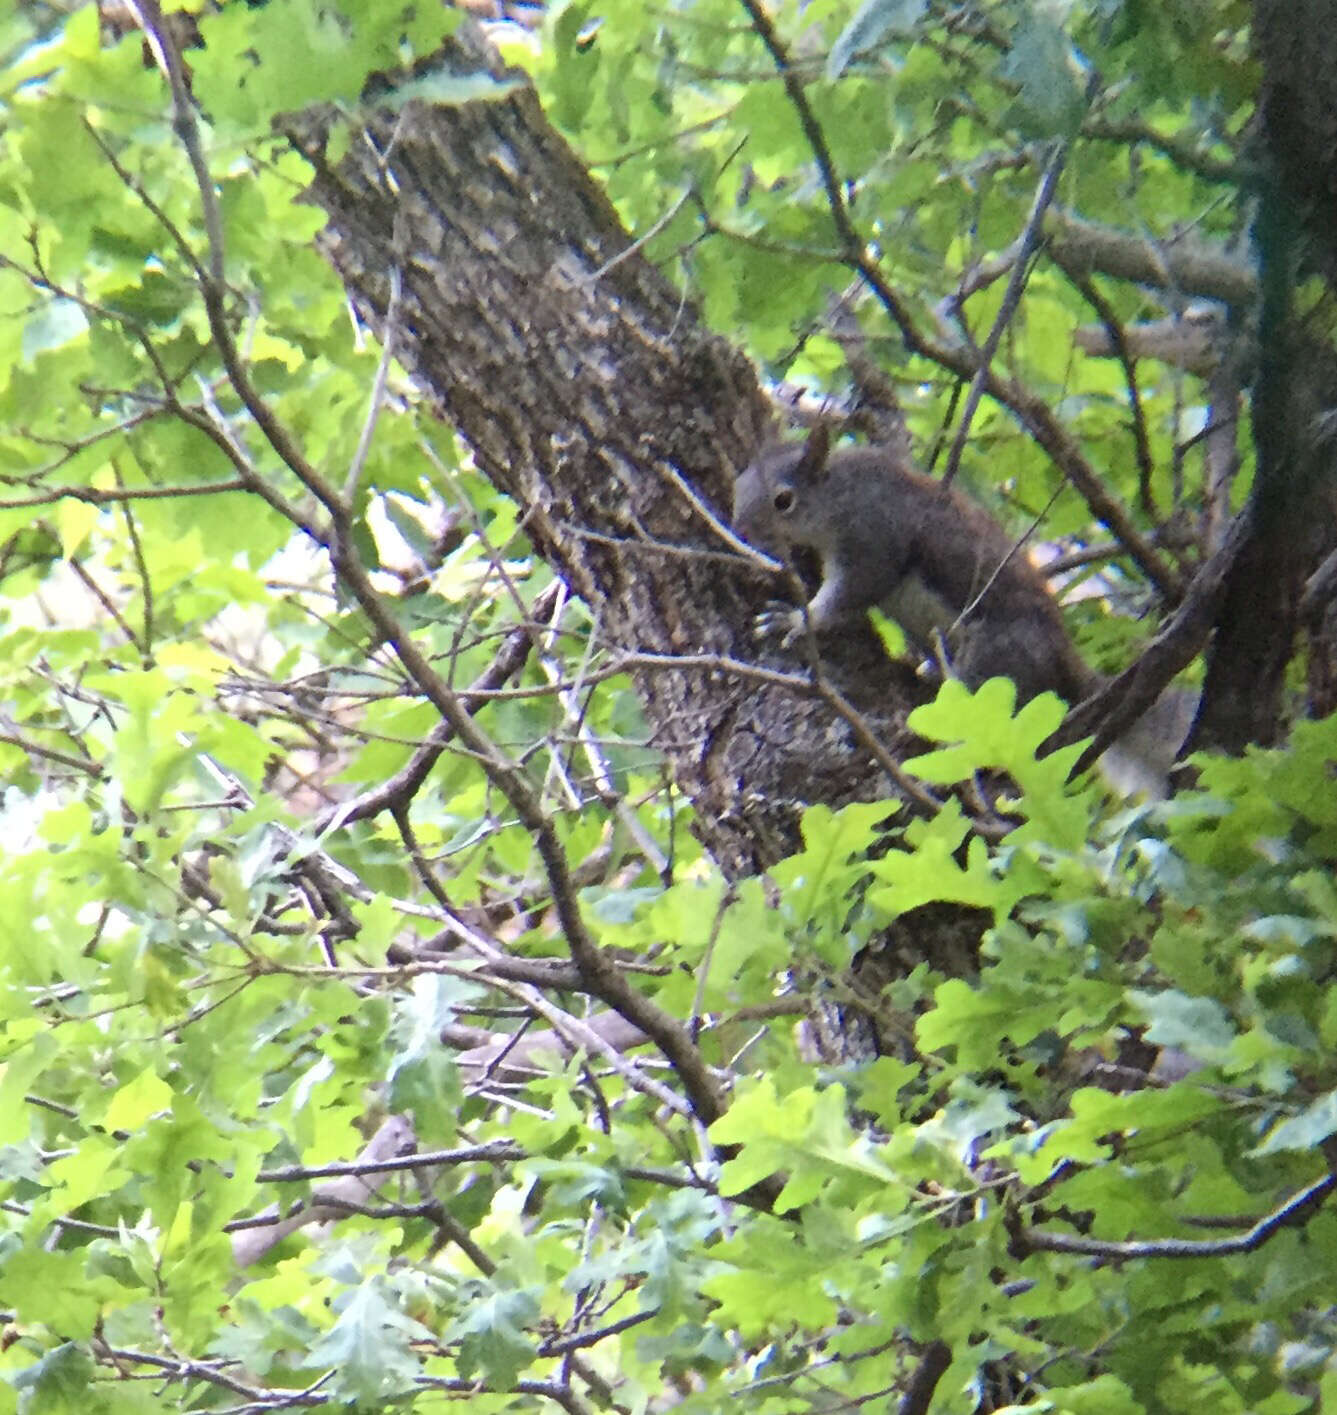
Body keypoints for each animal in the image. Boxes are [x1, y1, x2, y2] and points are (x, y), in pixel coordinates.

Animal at [735, 418, 1194, 798]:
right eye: (740, 481)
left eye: (783, 500)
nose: (737, 528)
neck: (840, 493)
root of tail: (1062, 664)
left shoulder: (875, 538)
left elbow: (849, 594)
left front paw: (796, 618)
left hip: (996, 660)